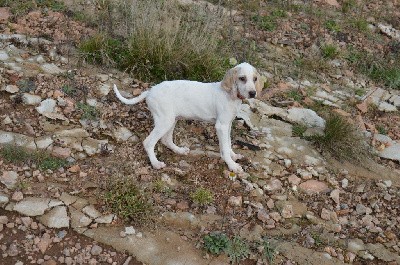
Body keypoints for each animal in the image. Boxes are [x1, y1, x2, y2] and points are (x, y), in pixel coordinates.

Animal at [114, 62, 262, 172]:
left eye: (255, 79)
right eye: (242, 78)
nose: (253, 93)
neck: (230, 94)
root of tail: (150, 91)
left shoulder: (228, 124)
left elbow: (228, 143)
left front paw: (233, 156)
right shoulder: (221, 126)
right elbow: (224, 147)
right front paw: (232, 165)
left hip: (171, 120)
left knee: (166, 140)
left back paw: (179, 150)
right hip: (165, 121)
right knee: (148, 142)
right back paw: (156, 163)